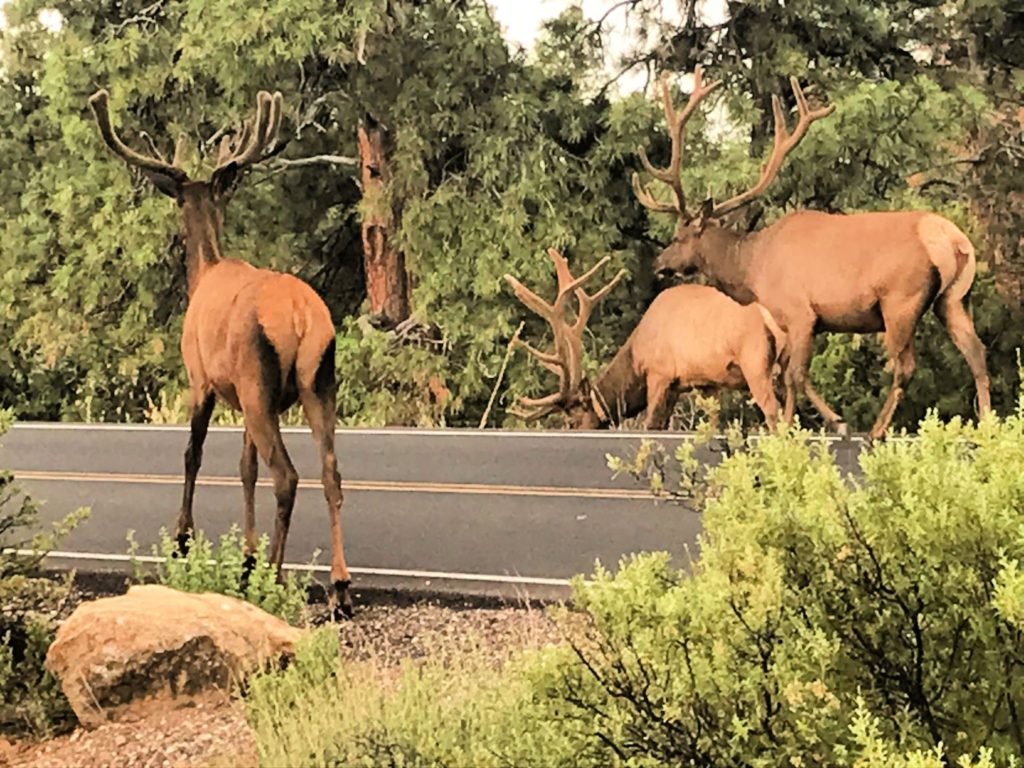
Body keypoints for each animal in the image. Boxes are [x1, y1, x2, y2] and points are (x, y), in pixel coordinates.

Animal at [92, 88, 356, 618]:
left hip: (259, 381)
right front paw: (248, 556)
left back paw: (276, 576)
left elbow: (192, 454)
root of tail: (300, 316)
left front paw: (183, 539)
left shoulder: (202, 380)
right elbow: (244, 469)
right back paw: (339, 587)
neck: (205, 271)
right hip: (315, 380)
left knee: (288, 476)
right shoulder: (240, 391)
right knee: (330, 472)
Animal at [503, 247, 782, 430]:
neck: (636, 352)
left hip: (755, 360)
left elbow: (651, 425)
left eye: (572, 421)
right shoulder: (704, 382)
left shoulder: (659, 373)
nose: (569, 430)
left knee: (773, 411)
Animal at [630, 66, 991, 438]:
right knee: (977, 353)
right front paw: (822, 423)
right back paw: (987, 422)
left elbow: (793, 377)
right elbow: (794, 376)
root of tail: (952, 240)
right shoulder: (801, 323)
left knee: (905, 366)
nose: (659, 264)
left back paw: (877, 430)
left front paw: (800, 428)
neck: (751, 270)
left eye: (678, 237)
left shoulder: (800, 312)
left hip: (900, 300)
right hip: (953, 298)